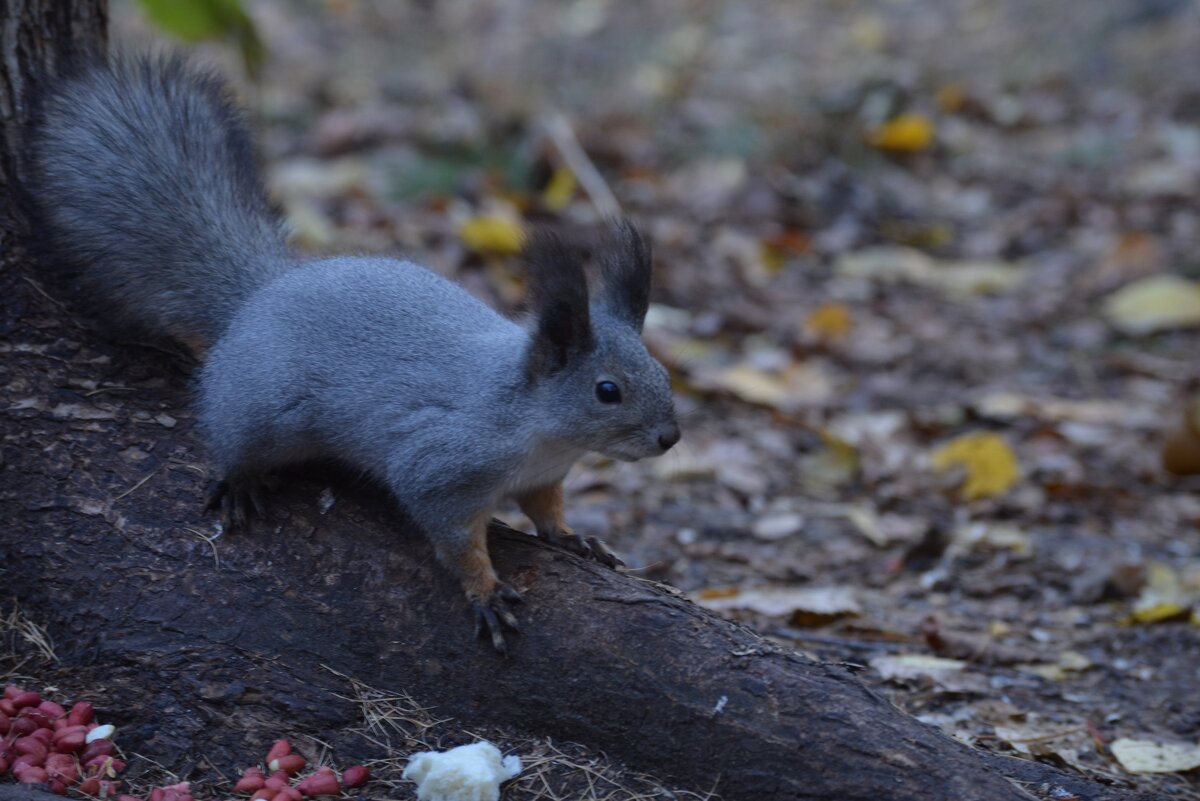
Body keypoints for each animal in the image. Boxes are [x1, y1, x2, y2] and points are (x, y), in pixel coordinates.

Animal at [18, 57, 681, 657]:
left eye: (661, 370)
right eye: (607, 390)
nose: (670, 438)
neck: (536, 427)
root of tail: (261, 294)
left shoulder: (543, 477)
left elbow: (546, 509)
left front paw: (572, 537)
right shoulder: (440, 465)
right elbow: (453, 539)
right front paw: (485, 591)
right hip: (261, 409)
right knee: (232, 440)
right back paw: (240, 481)